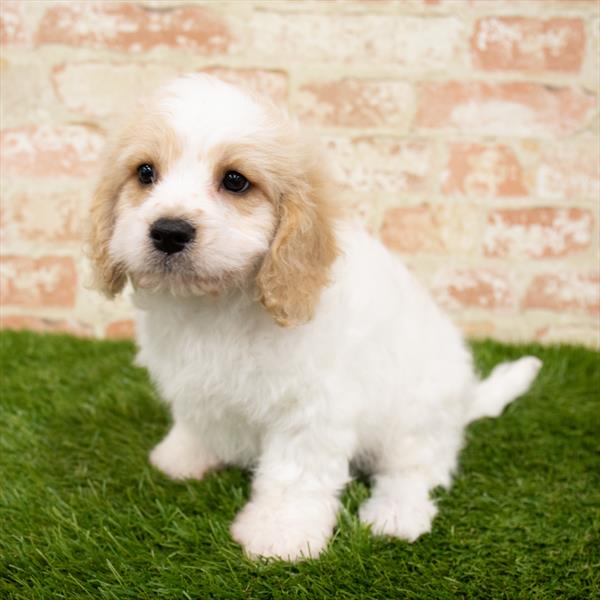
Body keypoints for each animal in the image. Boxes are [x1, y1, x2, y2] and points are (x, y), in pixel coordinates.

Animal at [90, 75, 544, 564]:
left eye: (235, 181)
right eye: (145, 173)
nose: (169, 231)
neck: (216, 304)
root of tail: (464, 403)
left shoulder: (312, 408)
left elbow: (295, 474)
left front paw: (279, 533)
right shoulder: (193, 383)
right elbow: (196, 419)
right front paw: (183, 455)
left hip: (416, 418)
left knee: (418, 469)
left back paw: (396, 515)